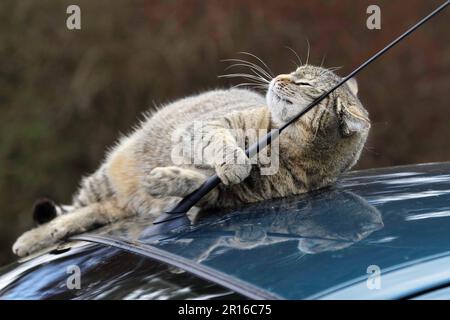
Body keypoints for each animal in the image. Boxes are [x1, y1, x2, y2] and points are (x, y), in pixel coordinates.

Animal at [12, 63, 370, 256]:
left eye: (303, 81)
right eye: (295, 71)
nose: (278, 77)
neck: (287, 147)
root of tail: (124, 202)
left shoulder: (220, 195)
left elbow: (198, 184)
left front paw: (167, 181)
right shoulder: (202, 128)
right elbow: (219, 144)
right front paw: (234, 160)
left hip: (108, 205)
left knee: (81, 216)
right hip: (103, 180)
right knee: (68, 213)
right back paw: (31, 239)